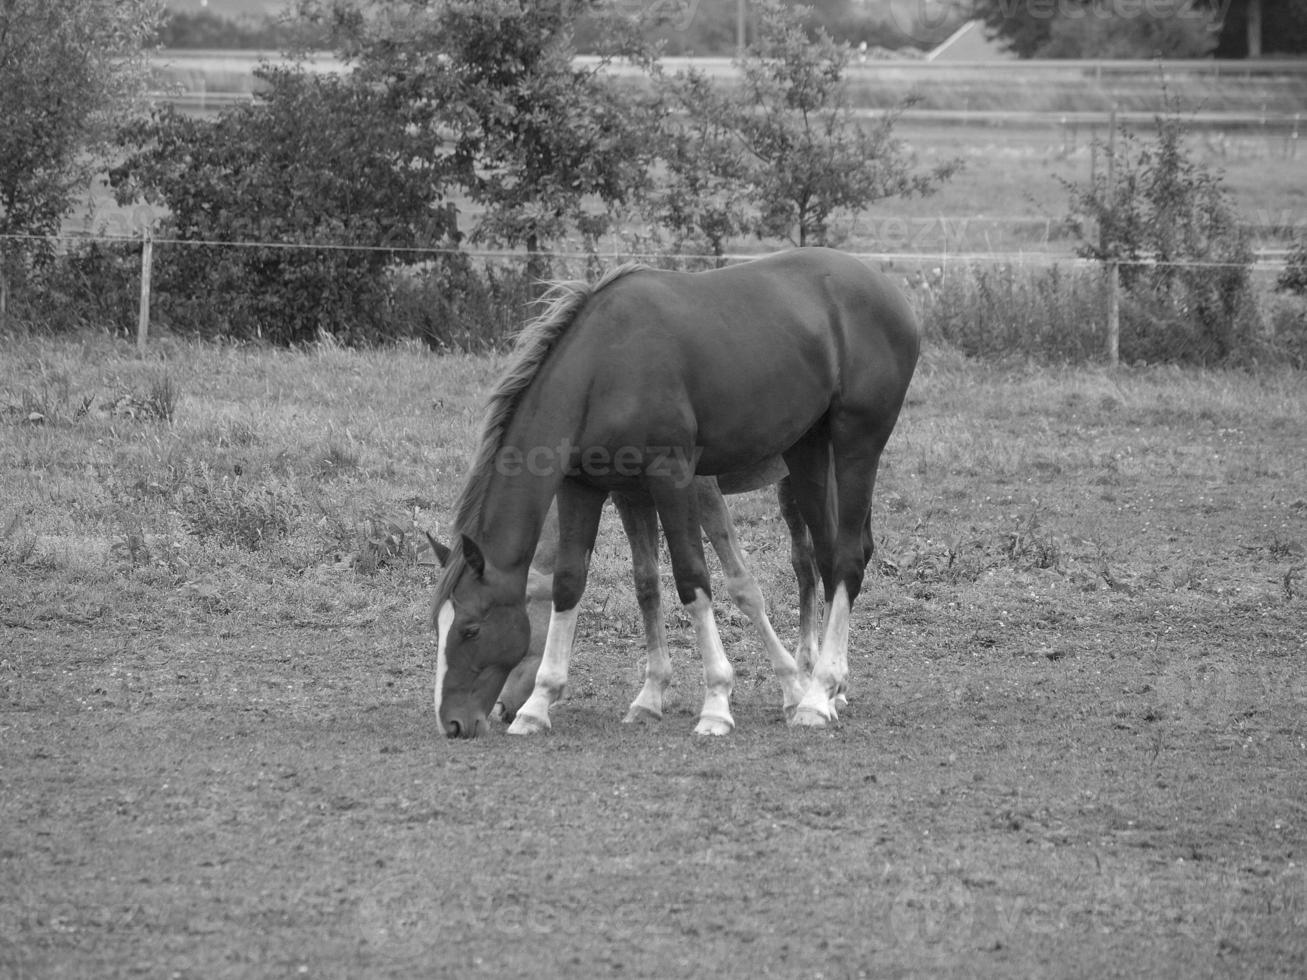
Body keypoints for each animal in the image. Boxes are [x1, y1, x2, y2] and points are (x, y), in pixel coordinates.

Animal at [431, 245, 920, 736]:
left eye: (470, 629)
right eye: (439, 626)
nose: (453, 723)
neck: (602, 369)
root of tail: (889, 290)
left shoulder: (676, 476)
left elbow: (694, 579)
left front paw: (718, 703)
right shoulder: (594, 488)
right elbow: (584, 582)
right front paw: (543, 705)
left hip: (857, 444)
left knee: (847, 558)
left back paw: (818, 696)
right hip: (807, 453)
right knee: (827, 556)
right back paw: (826, 686)